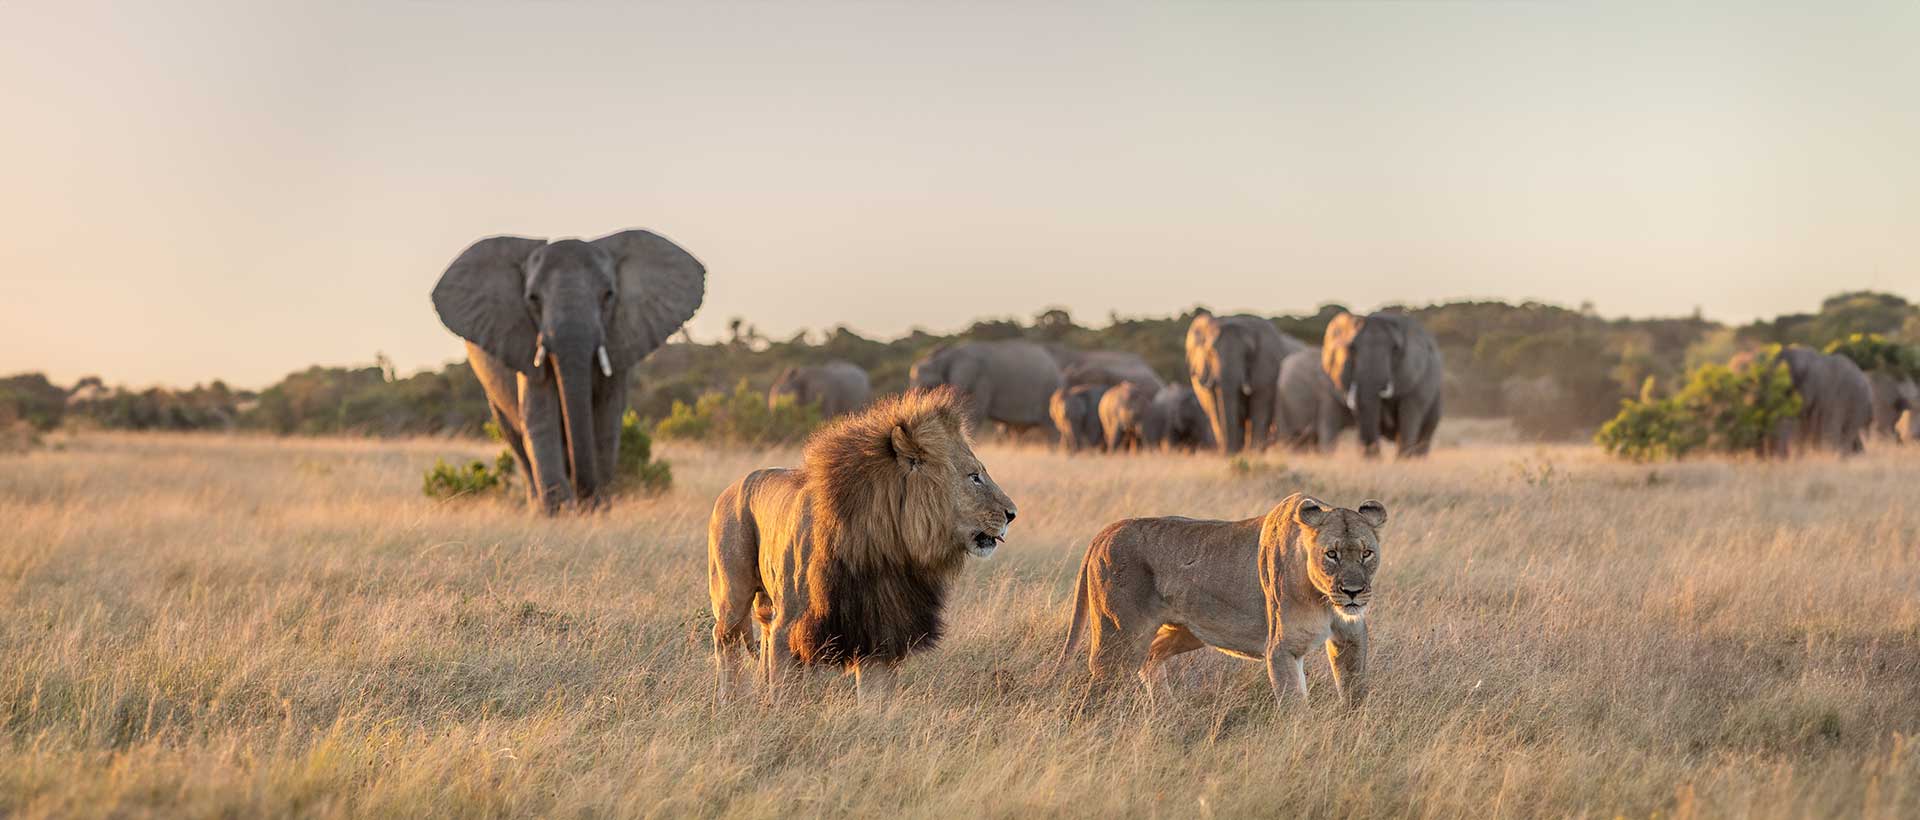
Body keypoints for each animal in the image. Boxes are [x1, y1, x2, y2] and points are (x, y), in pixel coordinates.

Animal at [431, 229, 704, 513]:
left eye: (608, 295)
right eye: (533, 299)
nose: (586, 497)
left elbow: (606, 419)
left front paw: (598, 509)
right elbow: (540, 414)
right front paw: (560, 511)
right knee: (516, 440)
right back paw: (538, 508)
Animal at [707, 386, 1018, 706]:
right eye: (975, 477)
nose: (1012, 514)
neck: (884, 549)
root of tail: (731, 487)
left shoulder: (878, 632)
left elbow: (876, 699)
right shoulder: (790, 626)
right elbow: (786, 691)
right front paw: (782, 715)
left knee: (762, 636)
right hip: (732, 593)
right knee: (725, 639)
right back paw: (727, 701)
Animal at [1060, 493, 1386, 707]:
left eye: (1366, 553)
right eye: (1331, 554)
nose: (1353, 592)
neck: (1323, 599)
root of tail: (1106, 531)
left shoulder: (1351, 636)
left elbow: (1355, 691)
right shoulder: (1283, 648)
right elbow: (1294, 704)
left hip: (1185, 631)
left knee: (1150, 657)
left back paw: (1166, 711)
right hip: (1119, 639)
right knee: (1102, 682)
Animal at [1185, 313, 1306, 455]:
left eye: (1248, 354)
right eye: (1211, 353)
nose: (1228, 452)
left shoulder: (1266, 369)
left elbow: (1259, 408)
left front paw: (1253, 453)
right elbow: (1215, 409)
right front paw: (1232, 453)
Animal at [1322, 311, 1444, 458]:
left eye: (1395, 349)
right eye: (1351, 348)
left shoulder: (1415, 377)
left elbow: (1409, 417)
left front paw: (1403, 461)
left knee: (1426, 432)